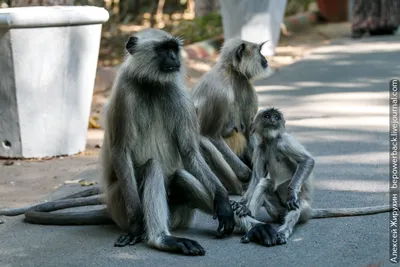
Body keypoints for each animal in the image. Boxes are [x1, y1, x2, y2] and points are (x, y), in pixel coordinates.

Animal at [231, 108, 394, 247]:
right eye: (267, 116)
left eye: (276, 117)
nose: (272, 120)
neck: (272, 142)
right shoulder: (260, 148)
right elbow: (257, 178)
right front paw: (242, 204)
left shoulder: (285, 141)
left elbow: (307, 161)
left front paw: (292, 193)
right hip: (276, 210)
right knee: (264, 183)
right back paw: (248, 217)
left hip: (302, 209)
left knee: (296, 204)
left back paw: (282, 231)